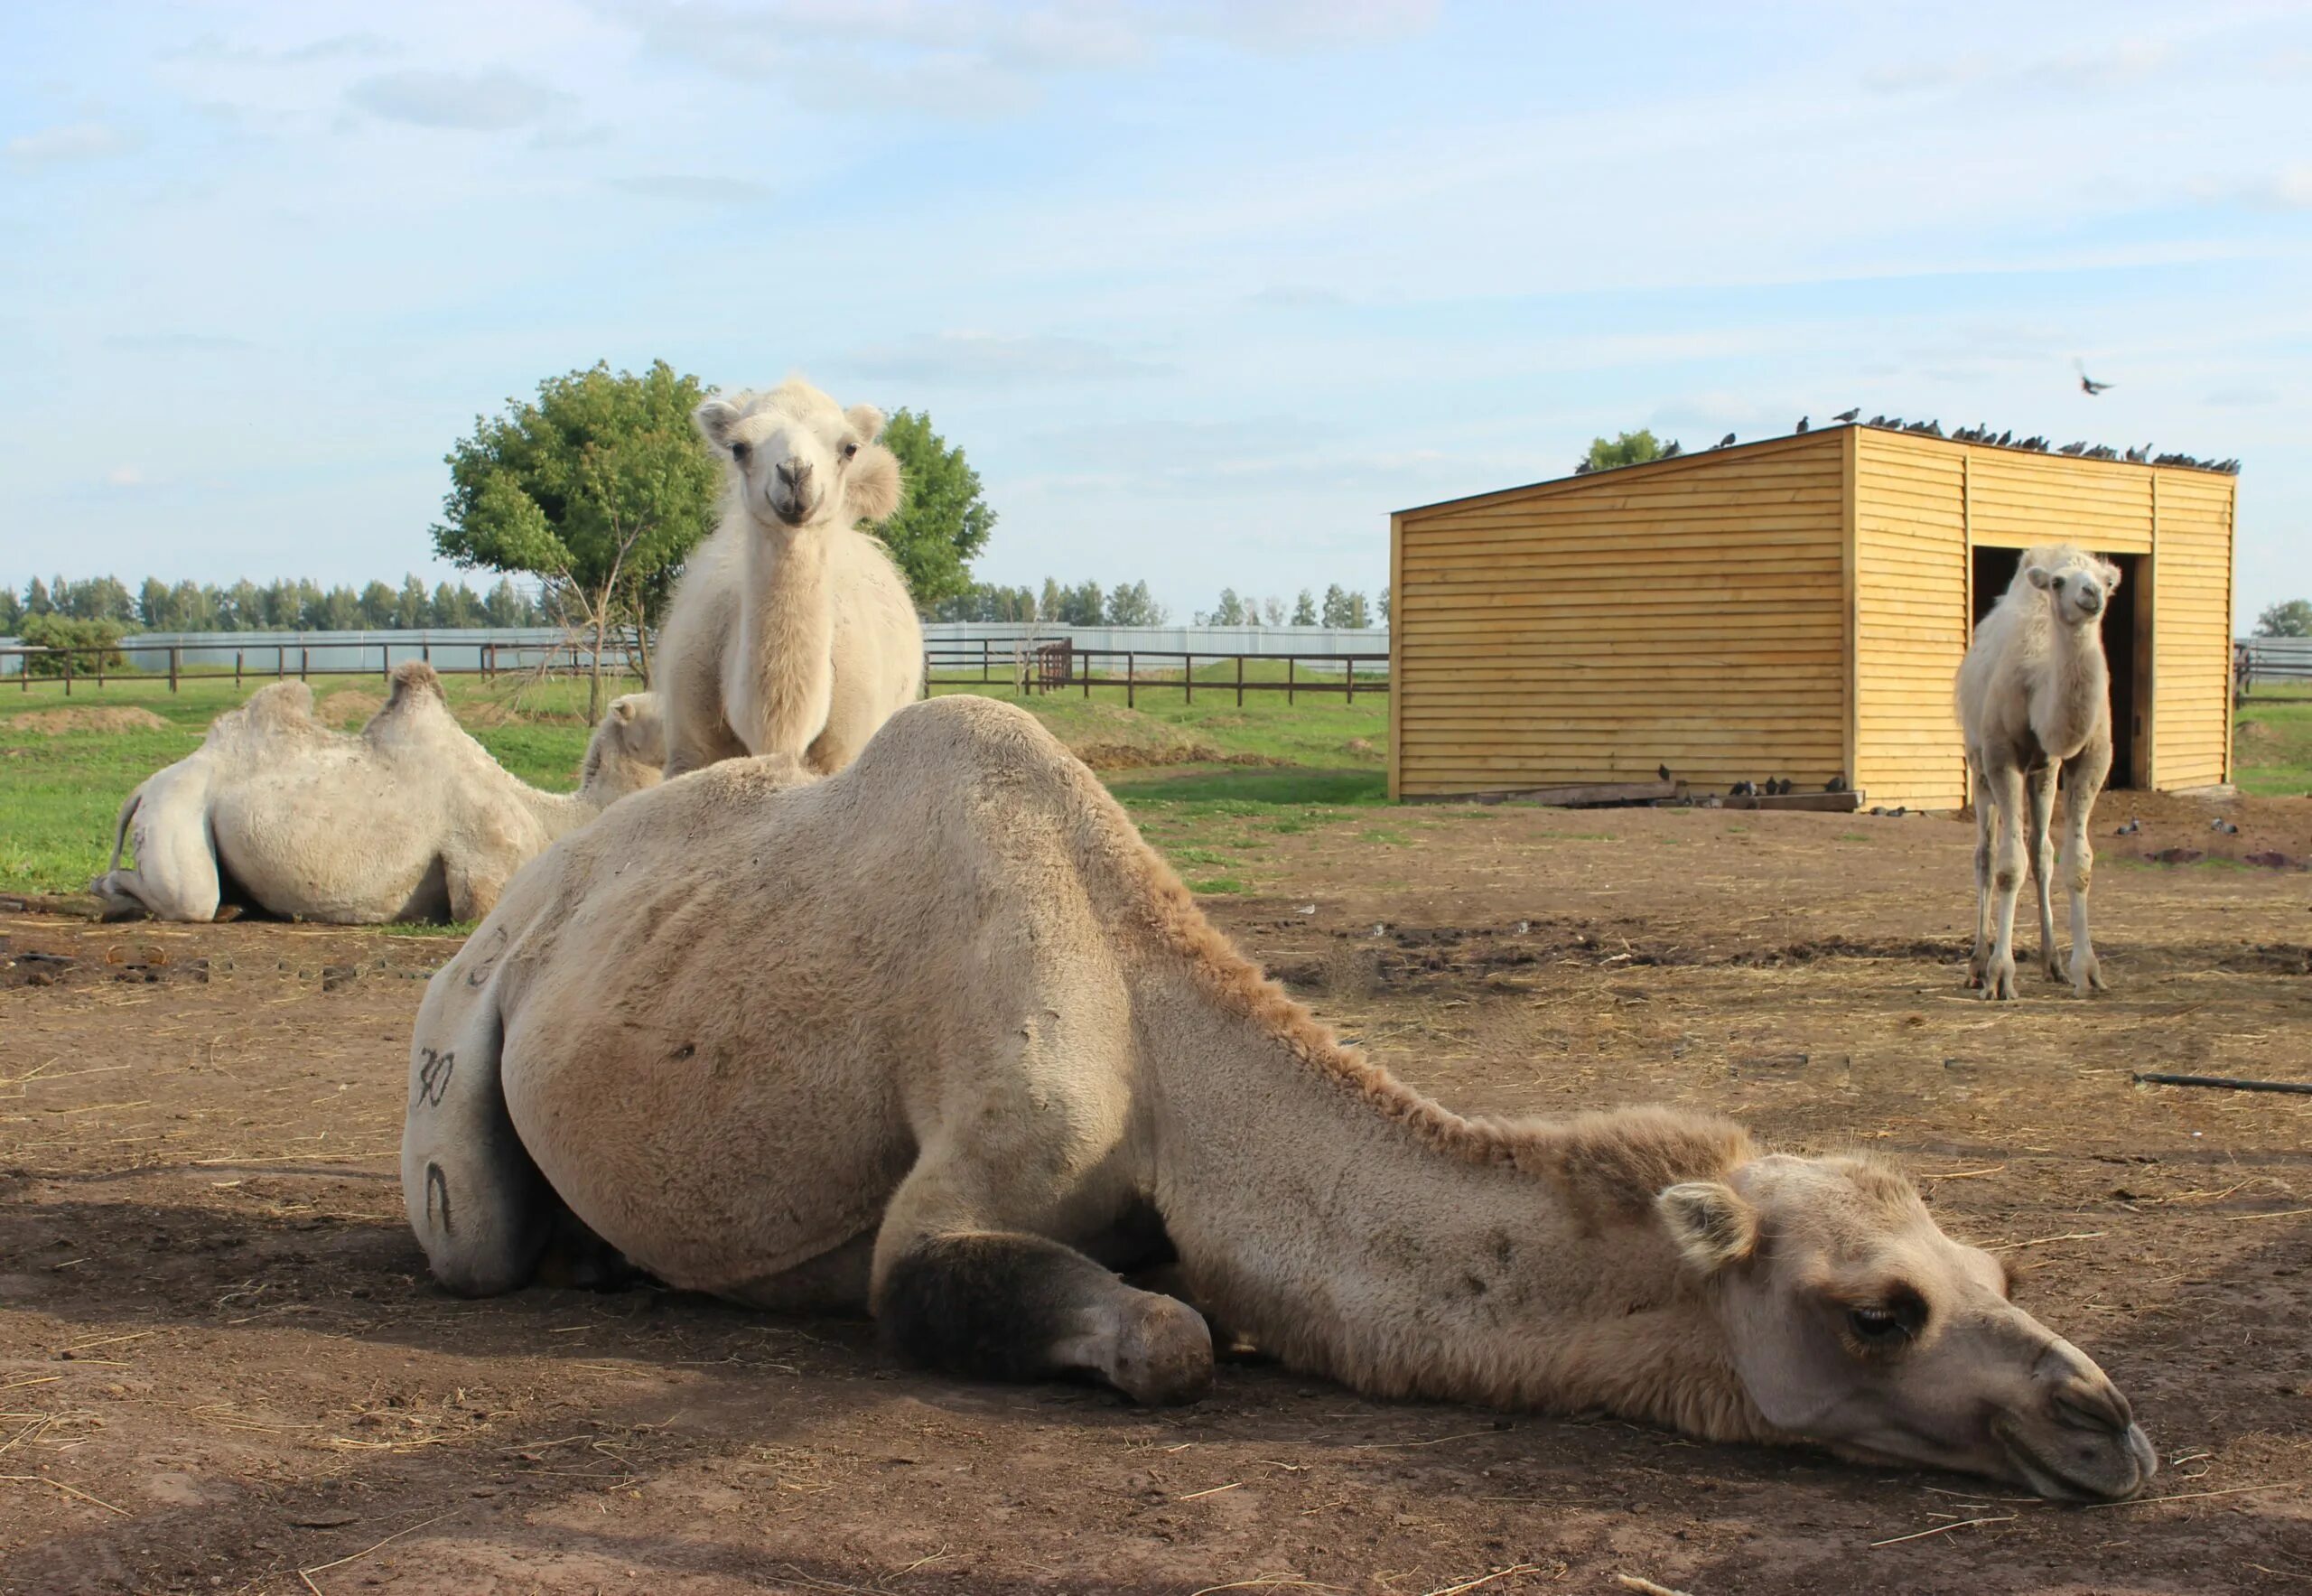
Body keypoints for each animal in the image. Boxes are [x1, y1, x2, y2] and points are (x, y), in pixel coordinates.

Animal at [406, 694, 2154, 1489]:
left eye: (1998, 1262)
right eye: (1879, 1310)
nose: (2112, 1421)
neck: (1166, 1050)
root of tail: (538, 889)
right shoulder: (953, 1195)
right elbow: (1165, 1334)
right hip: (457, 1066)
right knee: (473, 1236)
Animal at [657, 372, 915, 772]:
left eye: (850, 448)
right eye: (738, 447)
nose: (795, 473)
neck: (779, 735)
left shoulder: (844, 753)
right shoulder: (688, 751)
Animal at [1951, 543, 2117, 994]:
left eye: (2106, 579)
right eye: (2058, 582)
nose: (2091, 594)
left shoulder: (2090, 756)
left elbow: (2077, 861)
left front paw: (2087, 972)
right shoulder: (2001, 753)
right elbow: (2009, 866)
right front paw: (1999, 976)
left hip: (2043, 773)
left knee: (2041, 851)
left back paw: (2052, 962)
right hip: (1978, 762)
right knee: (1985, 855)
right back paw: (1977, 963)